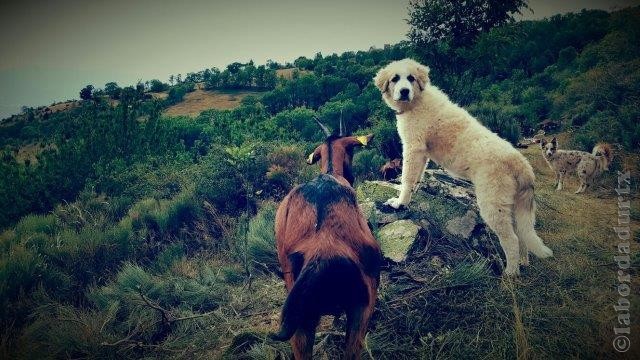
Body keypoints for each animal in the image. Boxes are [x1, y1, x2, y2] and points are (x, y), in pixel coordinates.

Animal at [272, 120, 382, 360]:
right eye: (352, 151)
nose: (352, 176)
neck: (331, 173)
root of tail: (321, 251)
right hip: (361, 307)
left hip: (300, 320)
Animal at [372, 58, 552, 276]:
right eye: (395, 79)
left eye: (411, 78)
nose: (404, 91)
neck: (417, 101)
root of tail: (521, 163)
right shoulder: (422, 154)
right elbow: (416, 178)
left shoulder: (413, 148)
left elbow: (407, 179)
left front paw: (399, 202)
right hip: (513, 205)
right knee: (522, 236)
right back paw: (523, 263)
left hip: (493, 204)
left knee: (512, 240)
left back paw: (510, 273)